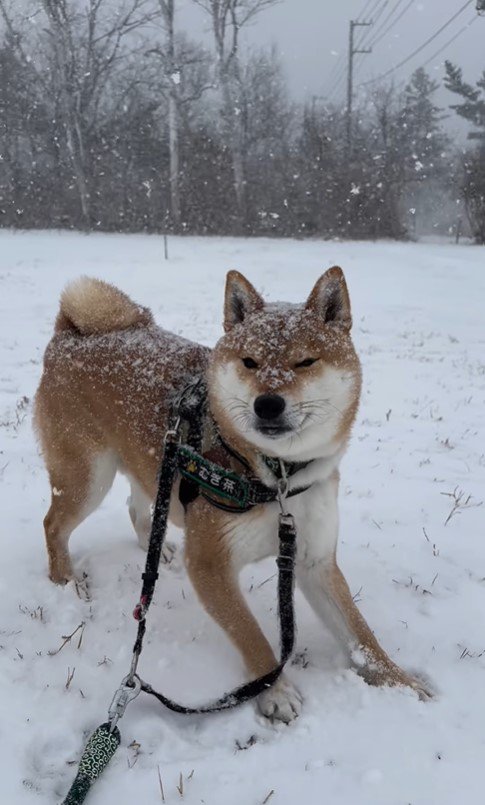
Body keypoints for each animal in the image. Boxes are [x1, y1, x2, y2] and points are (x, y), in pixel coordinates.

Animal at [33, 266, 428, 720]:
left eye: (305, 361)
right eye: (249, 361)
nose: (268, 403)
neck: (276, 478)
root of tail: (70, 332)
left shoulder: (315, 560)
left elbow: (360, 634)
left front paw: (399, 681)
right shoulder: (210, 565)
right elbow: (250, 633)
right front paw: (275, 692)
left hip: (151, 462)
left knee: (137, 505)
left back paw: (157, 550)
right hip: (87, 479)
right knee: (54, 524)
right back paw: (65, 581)